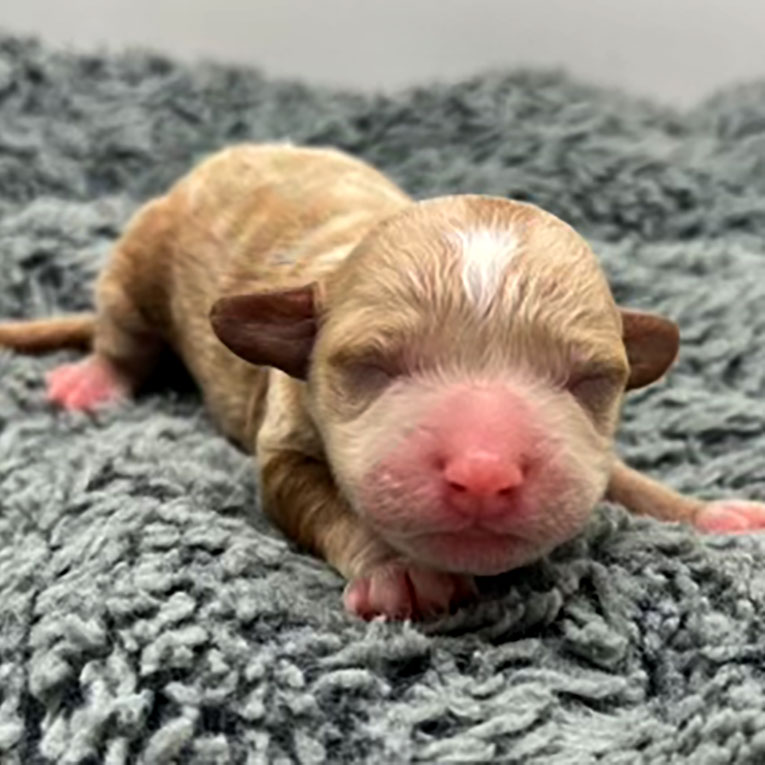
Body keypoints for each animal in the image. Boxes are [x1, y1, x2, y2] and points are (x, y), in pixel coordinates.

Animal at [1, 145, 764, 620]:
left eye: (591, 378)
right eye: (371, 365)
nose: (484, 473)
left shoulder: (591, 450)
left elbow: (624, 479)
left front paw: (708, 512)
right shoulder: (285, 442)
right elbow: (316, 497)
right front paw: (396, 568)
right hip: (142, 253)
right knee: (122, 331)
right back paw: (94, 380)